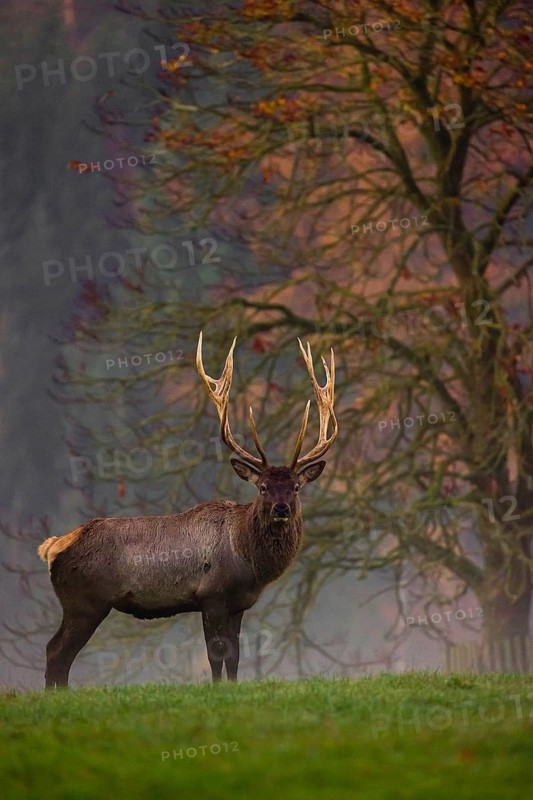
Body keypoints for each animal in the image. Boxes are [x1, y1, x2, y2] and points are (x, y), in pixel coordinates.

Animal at [37, 332, 337, 688]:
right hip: (84, 602)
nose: (281, 509)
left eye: (296, 487)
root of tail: (53, 546)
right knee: (56, 651)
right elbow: (215, 654)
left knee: (58, 653)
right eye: (262, 486)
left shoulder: (238, 604)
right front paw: (217, 689)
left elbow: (234, 655)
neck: (247, 559)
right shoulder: (211, 594)